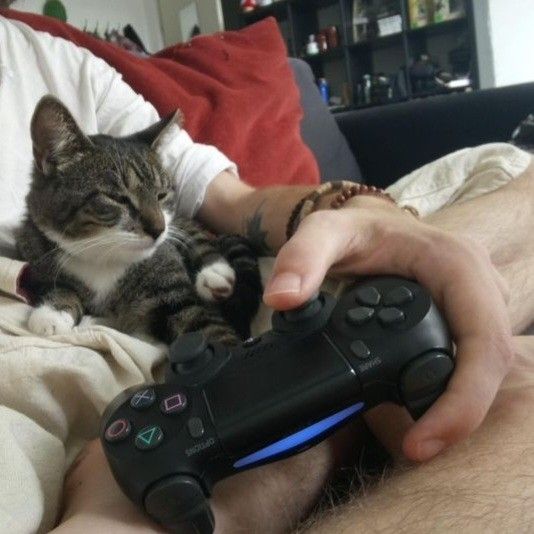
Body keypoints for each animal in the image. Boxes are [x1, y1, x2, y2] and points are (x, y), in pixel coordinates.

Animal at [17, 96, 264, 348]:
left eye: (161, 195)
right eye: (118, 198)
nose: (159, 229)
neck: (103, 258)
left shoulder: (172, 280)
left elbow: (205, 326)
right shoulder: (34, 252)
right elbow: (59, 285)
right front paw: (53, 312)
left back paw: (216, 273)